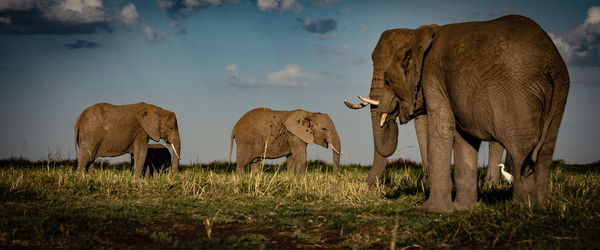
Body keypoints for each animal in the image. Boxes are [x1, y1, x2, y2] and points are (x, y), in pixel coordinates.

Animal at [378, 14, 568, 212]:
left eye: (388, 81)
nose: (390, 118)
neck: (419, 39)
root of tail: (554, 66)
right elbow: (464, 137)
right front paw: (463, 208)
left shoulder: (432, 77)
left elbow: (442, 128)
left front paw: (431, 210)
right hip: (558, 96)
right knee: (546, 148)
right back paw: (541, 206)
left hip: (519, 94)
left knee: (521, 148)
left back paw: (523, 207)